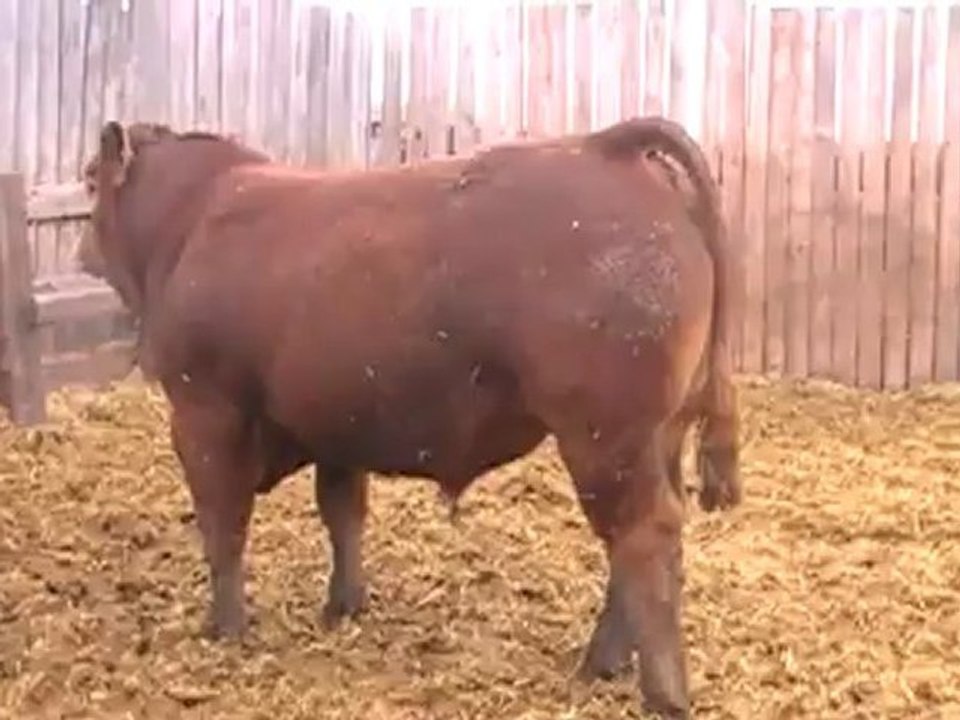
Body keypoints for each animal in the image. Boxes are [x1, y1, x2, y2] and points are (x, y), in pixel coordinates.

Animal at [77, 116, 741, 719]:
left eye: (89, 181)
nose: (82, 255)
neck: (192, 220)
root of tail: (607, 146)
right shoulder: (335, 422)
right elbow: (342, 512)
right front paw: (343, 605)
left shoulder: (205, 412)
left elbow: (223, 525)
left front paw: (224, 628)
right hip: (656, 435)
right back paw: (608, 662)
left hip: (604, 437)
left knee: (642, 537)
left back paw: (657, 690)